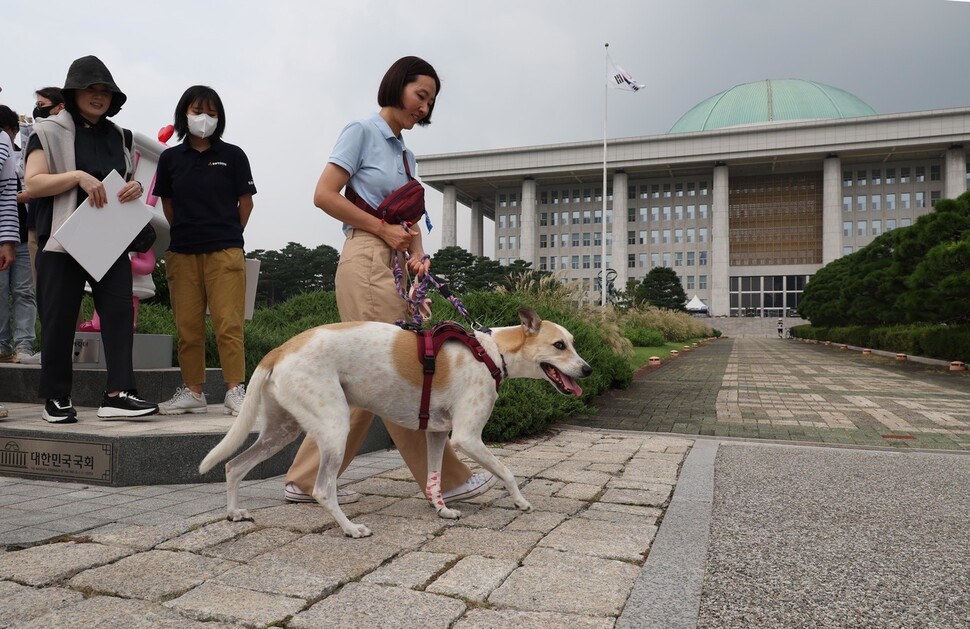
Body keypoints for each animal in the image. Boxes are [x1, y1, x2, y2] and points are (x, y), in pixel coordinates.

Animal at [199, 306, 588, 536]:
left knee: (234, 465)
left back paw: (234, 513)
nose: (588, 369)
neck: (492, 353)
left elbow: (433, 478)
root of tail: (280, 349)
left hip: (281, 431)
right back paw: (350, 528)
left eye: (572, 342)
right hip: (335, 428)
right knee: (323, 489)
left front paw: (442, 510)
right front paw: (520, 502)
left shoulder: (437, 434)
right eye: (559, 345)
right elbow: (506, 471)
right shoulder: (466, 437)